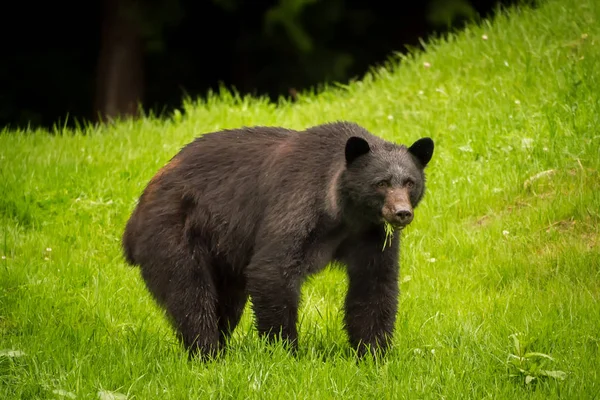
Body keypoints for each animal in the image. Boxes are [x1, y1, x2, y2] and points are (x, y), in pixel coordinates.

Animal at [123, 120, 432, 358]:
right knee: (190, 293)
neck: (345, 213)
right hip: (173, 231)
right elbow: (273, 269)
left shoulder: (371, 235)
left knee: (227, 300)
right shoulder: (297, 203)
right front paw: (286, 351)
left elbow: (374, 286)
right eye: (381, 183)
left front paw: (373, 353)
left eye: (409, 182)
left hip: (223, 253)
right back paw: (207, 352)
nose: (401, 213)